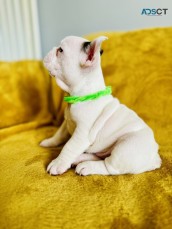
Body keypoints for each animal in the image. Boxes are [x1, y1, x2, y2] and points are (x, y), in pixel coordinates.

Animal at [40, 35, 161, 175]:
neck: (81, 96)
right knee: (98, 156)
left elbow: (68, 147)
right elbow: (59, 134)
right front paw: (50, 142)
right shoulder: (66, 122)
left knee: (108, 166)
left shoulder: (82, 134)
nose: (51, 50)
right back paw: (80, 158)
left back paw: (87, 166)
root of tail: (155, 158)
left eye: (60, 50)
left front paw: (58, 163)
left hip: (126, 146)